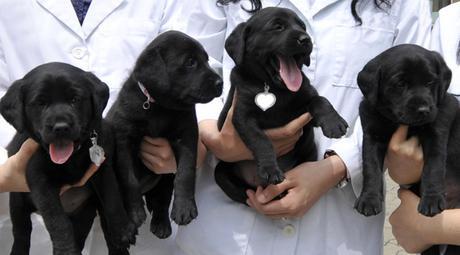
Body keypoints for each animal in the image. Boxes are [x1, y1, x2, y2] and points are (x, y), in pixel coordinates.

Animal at [0, 62, 135, 255]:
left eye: (75, 99)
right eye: (40, 103)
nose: (61, 127)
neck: (72, 157)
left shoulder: (103, 168)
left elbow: (112, 198)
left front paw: (123, 229)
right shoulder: (40, 179)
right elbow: (57, 220)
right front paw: (65, 250)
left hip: (86, 211)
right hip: (17, 202)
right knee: (21, 232)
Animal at [107, 30, 224, 239]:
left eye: (206, 60)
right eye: (190, 62)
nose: (221, 83)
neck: (159, 107)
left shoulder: (186, 135)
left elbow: (186, 172)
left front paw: (184, 208)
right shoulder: (124, 140)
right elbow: (129, 179)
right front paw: (135, 213)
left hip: (165, 177)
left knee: (161, 199)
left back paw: (162, 224)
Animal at [216, 6, 348, 204]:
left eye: (302, 27)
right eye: (278, 27)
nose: (306, 39)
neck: (275, 89)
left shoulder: (305, 114)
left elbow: (320, 100)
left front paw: (334, 123)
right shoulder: (242, 115)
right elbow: (260, 140)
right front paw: (270, 170)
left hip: (309, 154)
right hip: (221, 172)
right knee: (243, 193)